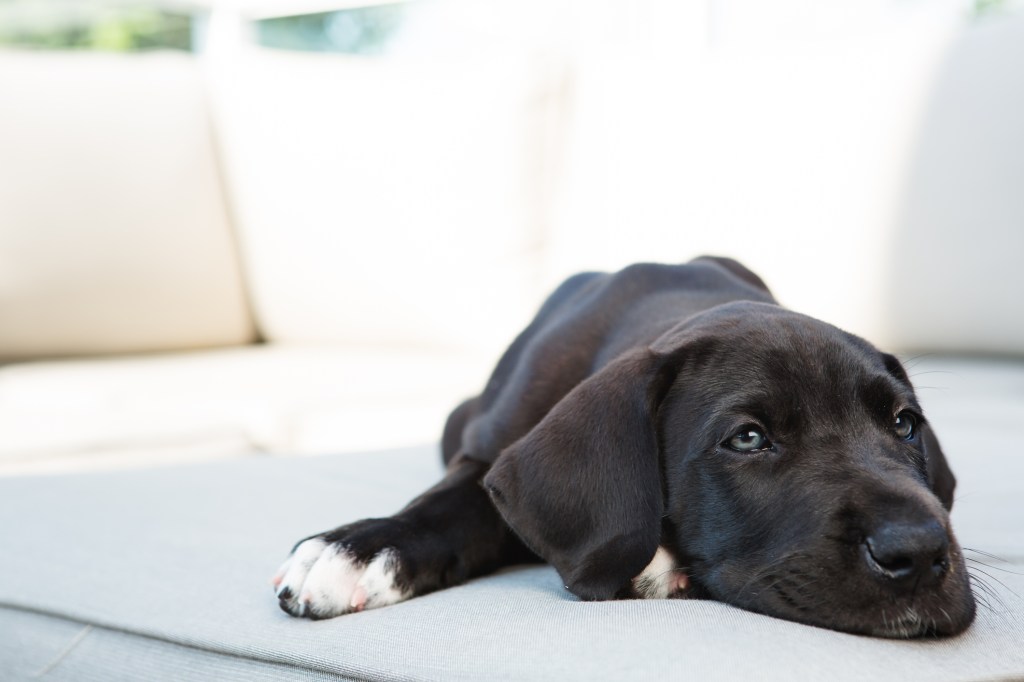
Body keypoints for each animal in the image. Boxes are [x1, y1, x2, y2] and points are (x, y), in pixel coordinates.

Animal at [272, 258, 974, 634]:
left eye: (904, 424)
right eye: (748, 438)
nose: (917, 551)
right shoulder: (487, 450)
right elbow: (455, 504)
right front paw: (359, 547)